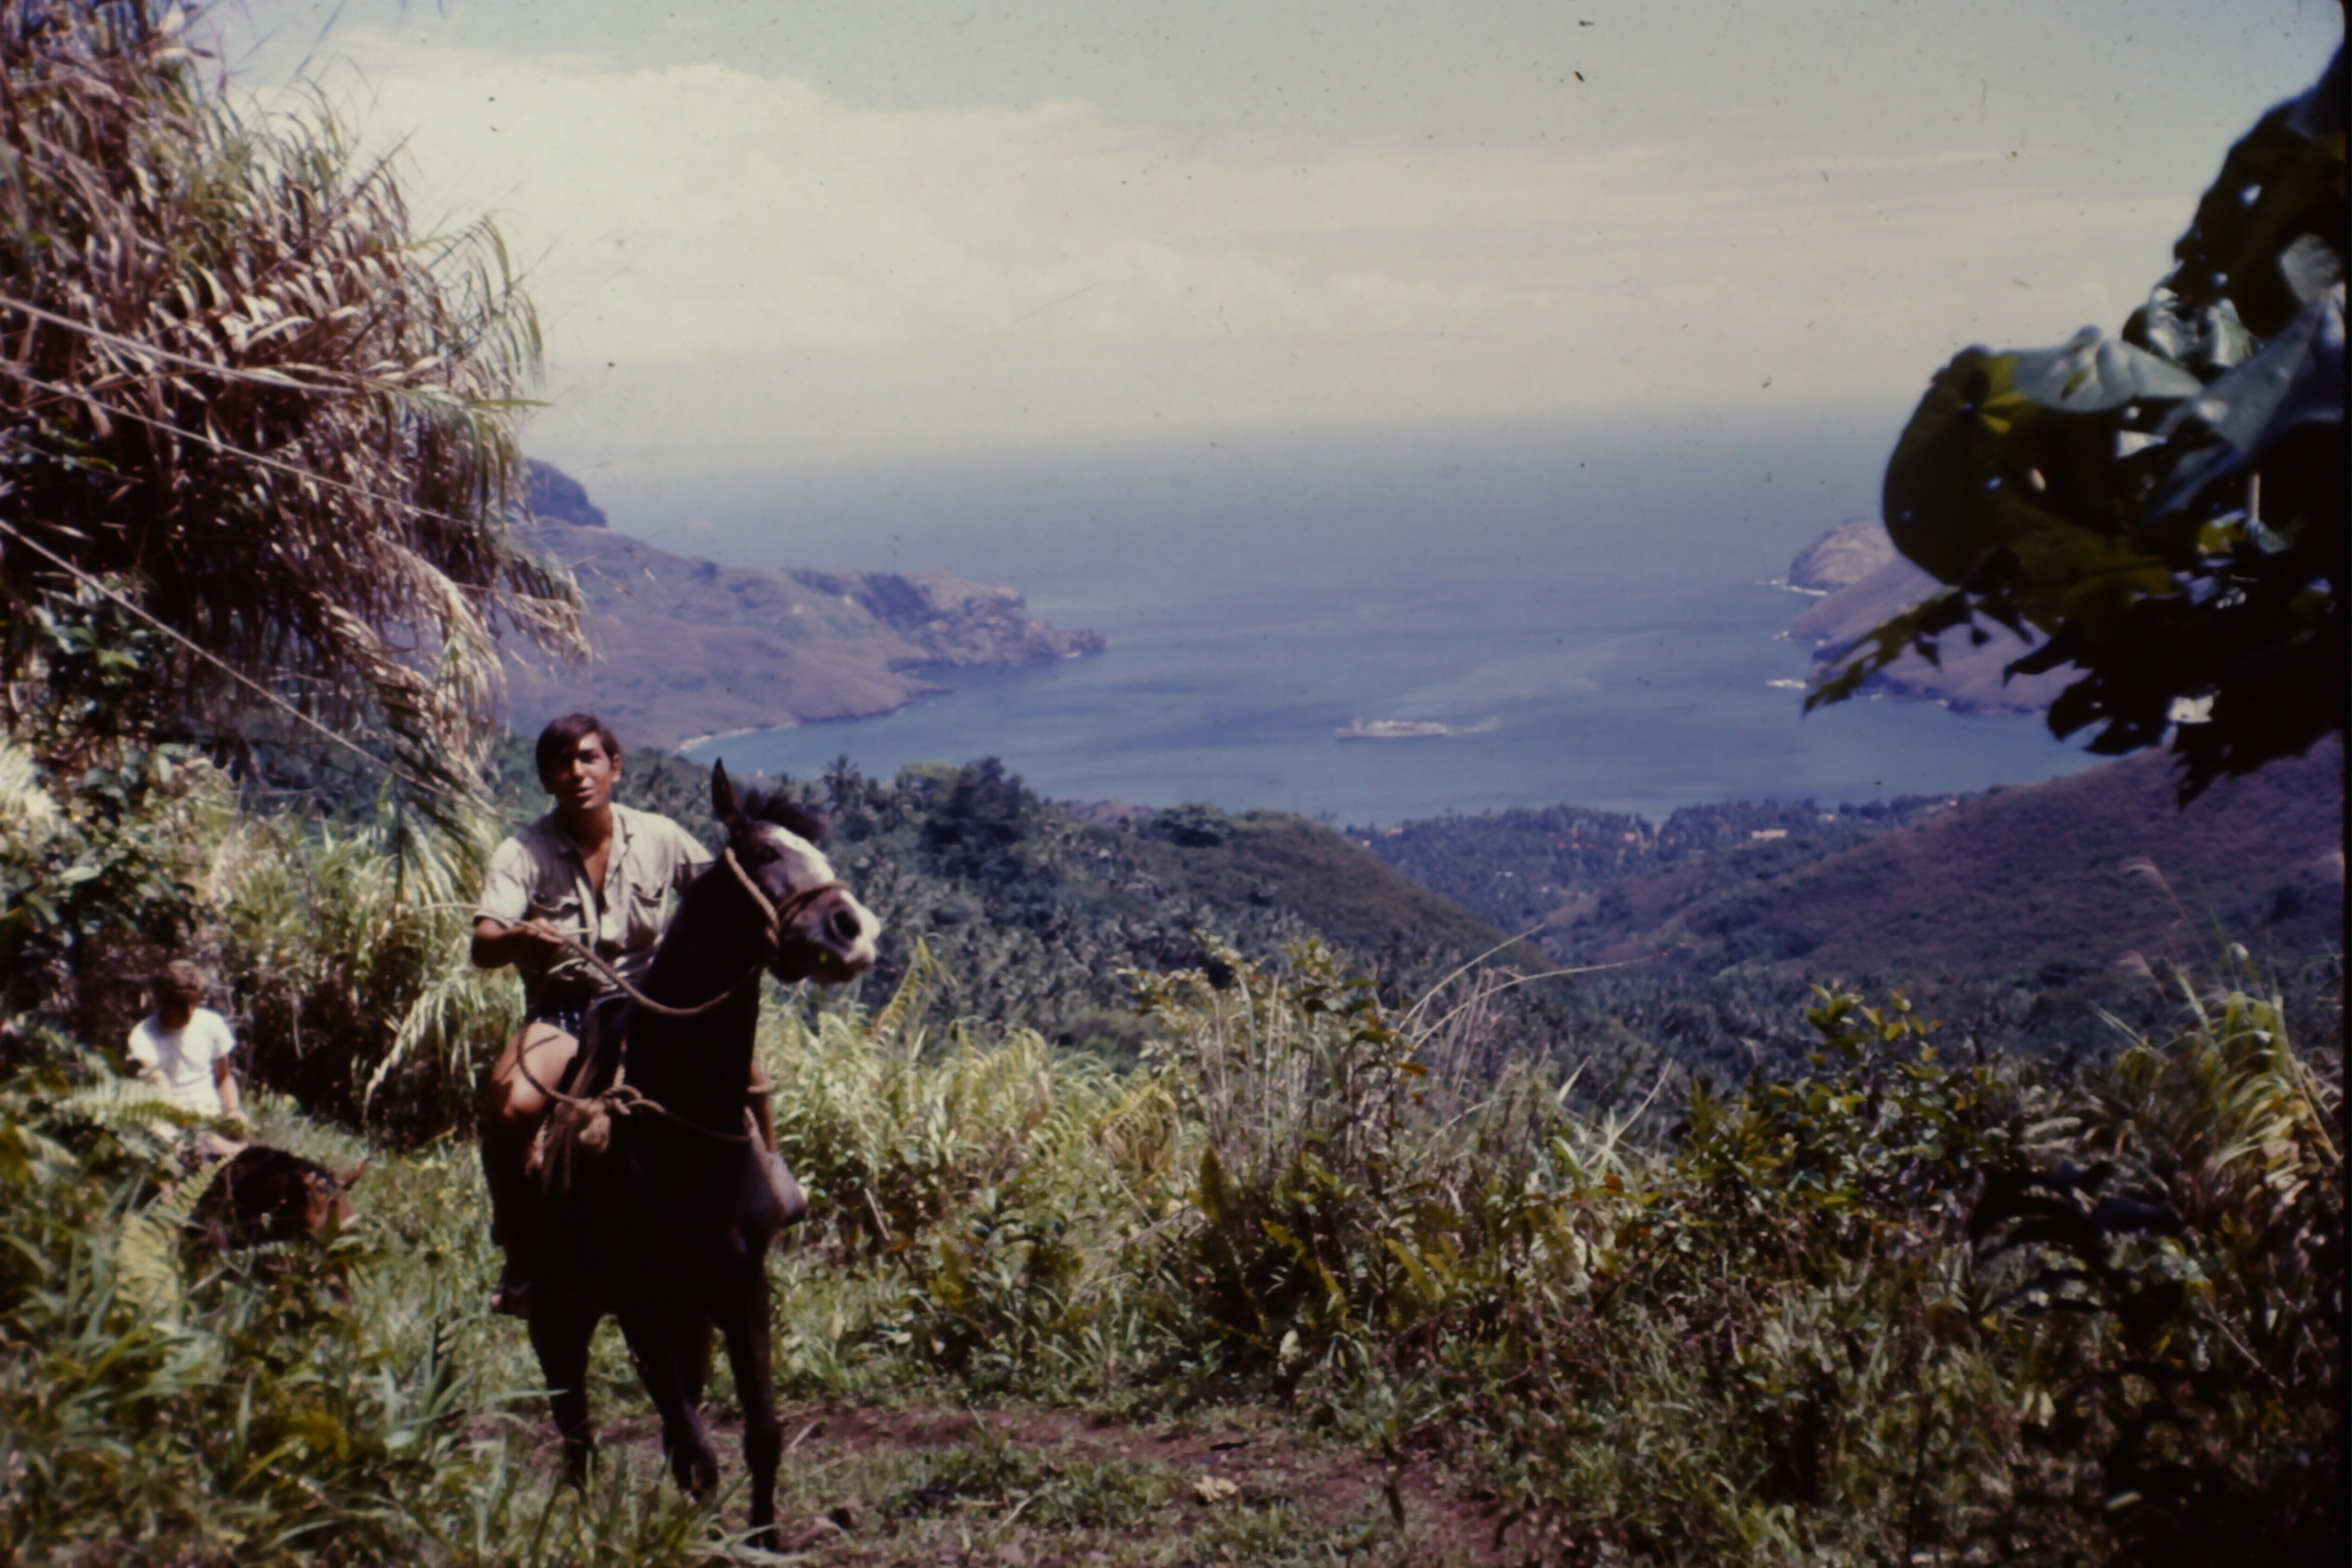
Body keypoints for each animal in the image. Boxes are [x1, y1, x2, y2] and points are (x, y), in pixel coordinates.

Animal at [524, 762, 880, 1547]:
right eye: (765, 853)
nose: (853, 931)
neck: (682, 1130)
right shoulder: (636, 1301)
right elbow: (695, 1449)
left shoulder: (741, 1291)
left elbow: (758, 1436)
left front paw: (762, 1540)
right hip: (559, 1307)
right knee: (575, 1425)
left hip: (686, 1317)